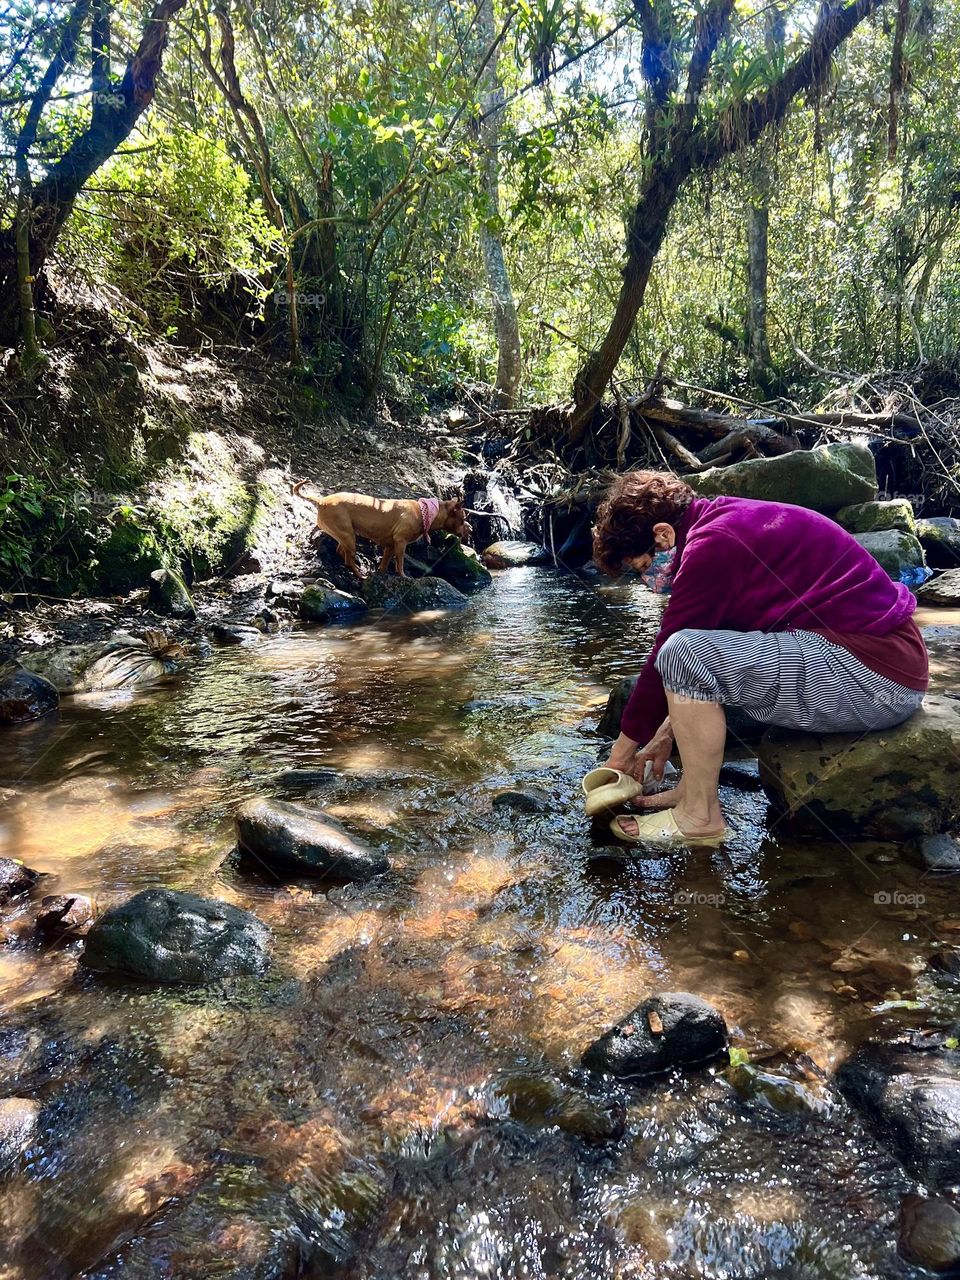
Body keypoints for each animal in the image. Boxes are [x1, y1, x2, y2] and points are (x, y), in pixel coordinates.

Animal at [293, 481, 473, 578]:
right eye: (463, 519)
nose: (470, 529)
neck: (425, 512)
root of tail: (321, 501)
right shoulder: (400, 542)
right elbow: (400, 563)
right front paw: (403, 576)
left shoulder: (390, 546)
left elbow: (385, 563)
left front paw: (382, 573)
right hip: (349, 536)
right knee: (349, 560)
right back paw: (360, 576)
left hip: (345, 536)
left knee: (341, 552)